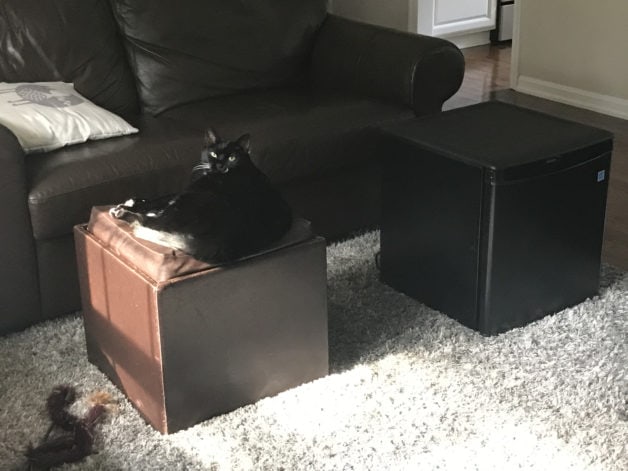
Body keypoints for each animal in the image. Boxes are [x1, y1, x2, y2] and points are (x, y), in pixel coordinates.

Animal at [110, 128, 292, 266]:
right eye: (213, 154)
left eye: (232, 157)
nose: (219, 165)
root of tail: (228, 242)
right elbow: (162, 197)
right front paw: (134, 201)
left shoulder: (187, 190)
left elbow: (159, 200)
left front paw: (130, 205)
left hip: (192, 200)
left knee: (153, 222)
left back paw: (122, 213)